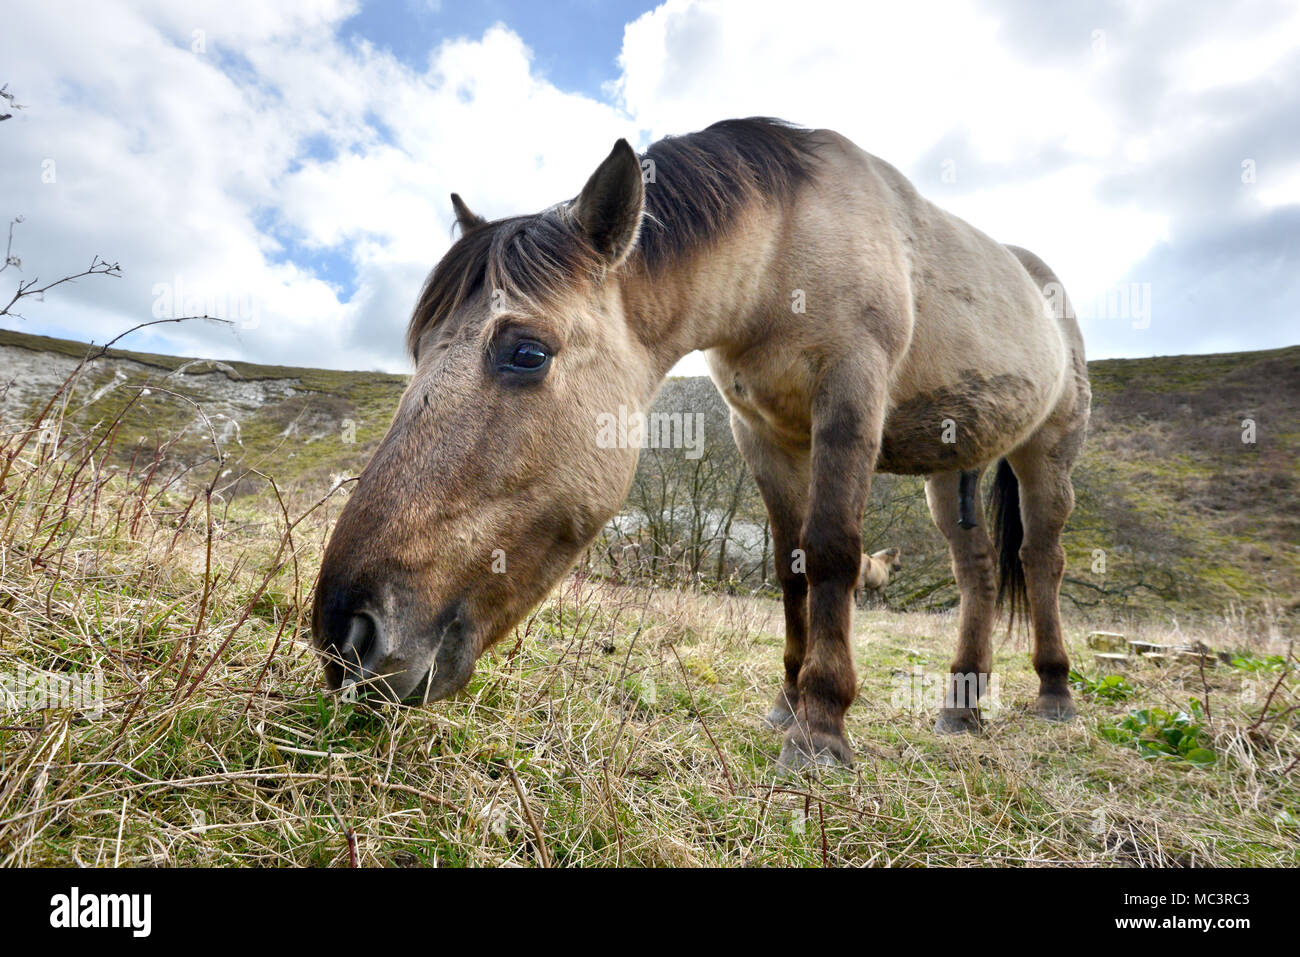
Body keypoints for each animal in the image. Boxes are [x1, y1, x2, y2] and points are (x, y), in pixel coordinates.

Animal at [312, 117, 1086, 769]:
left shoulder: (850, 396)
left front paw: (822, 724)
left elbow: (833, 550)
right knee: (977, 571)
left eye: (526, 354)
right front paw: (788, 702)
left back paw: (1054, 692)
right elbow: (792, 566)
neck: (784, 252)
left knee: (1040, 560)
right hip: (954, 464)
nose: (345, 636)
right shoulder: (763, 432)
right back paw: (962, 704)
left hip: (1046, 451)